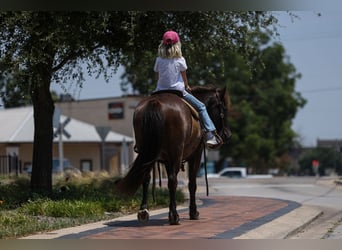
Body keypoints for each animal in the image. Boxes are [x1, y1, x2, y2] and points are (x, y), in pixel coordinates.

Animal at [115, 86, 232, 225]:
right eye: (223, 109)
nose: (227, 134)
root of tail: (155, 103)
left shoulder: (167, 159)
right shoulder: (195, 155)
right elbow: (192, 183)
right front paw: (193, 212)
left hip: (148, 152)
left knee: (146, 177)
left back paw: (144, 211)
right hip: (175, 153)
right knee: (172, 181)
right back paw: (174, 216)